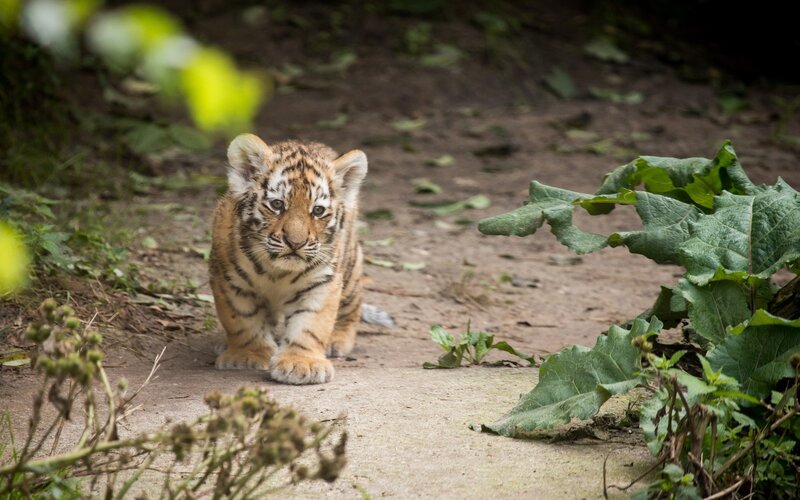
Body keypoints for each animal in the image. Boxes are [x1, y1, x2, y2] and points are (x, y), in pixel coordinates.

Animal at [209, 134, 390, 384]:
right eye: (277, 204)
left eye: (318, 211)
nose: (295, 243)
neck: (277, 272)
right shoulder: (230, 281)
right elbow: (243, 321)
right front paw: (247, 355)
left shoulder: (322, 283)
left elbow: (310, 325)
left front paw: (302, 363)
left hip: (350, 269)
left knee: (351, 306)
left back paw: (337, 339)